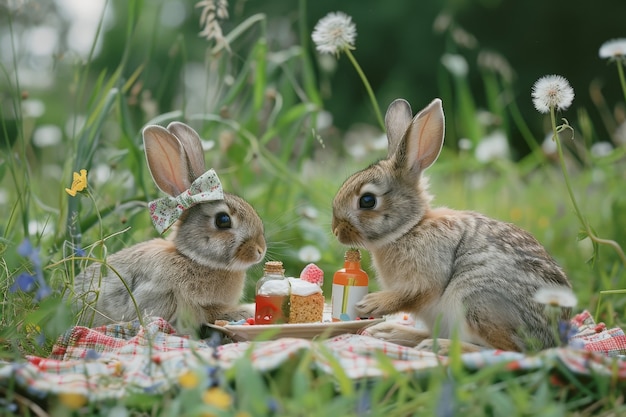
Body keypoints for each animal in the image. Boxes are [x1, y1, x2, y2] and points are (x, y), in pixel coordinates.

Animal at [332, 97, 572, 352]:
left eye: (367, 200)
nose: (336, 230)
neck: (409, 228)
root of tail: (552, 341)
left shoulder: (428, 274)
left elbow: (412, 294)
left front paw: (371, 304)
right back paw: (390, 333)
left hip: (475, 300)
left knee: (506, 350)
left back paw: (439, 347)